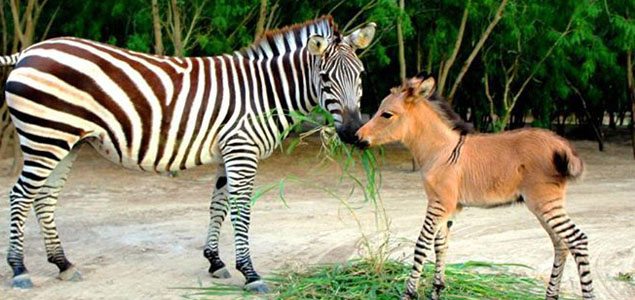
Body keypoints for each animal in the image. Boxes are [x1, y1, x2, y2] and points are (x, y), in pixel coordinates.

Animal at [0, 15, 376, 292]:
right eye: (324, 77)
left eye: (360, 75)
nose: (352, 134)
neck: (263, 93)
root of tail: (30, 49)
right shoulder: (242, 150)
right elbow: (241, 211)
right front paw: (250, 273)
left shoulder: (229, 153)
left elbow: (218, 207)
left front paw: (215, 261)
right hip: (45, 137)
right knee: (20, 195)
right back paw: (19, 269)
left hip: (66, 141)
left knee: (44, 198)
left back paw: (63, 264)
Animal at [356, 73, 592, 300]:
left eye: (386, 114)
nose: (356, 138)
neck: (440, 150)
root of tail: (561, 145)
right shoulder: (450, 207)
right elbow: (440, 245)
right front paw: (436, 291)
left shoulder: (439, 203)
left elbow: (422, 245)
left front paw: (409, 293)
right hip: (542, 206)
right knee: (561, 244)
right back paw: (551, 295)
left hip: (544, 202)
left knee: (577, 240)